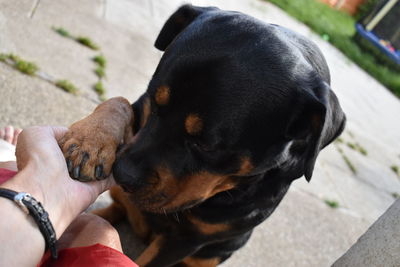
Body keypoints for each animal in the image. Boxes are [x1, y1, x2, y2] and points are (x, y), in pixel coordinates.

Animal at [58, 4, 344, 267]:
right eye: (155, 102)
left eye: (207, 145)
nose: (123, 174)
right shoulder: (141, 112)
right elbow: (119, 102)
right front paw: (89, 142)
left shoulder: (187, 239)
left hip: (217, 251)